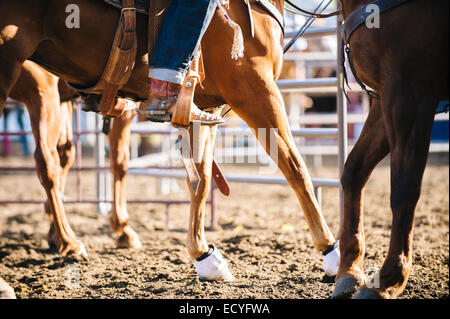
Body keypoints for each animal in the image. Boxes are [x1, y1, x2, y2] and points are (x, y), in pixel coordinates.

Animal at [0, 0, 340, 282]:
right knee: (48, 165)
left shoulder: (205, 109)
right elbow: (295, 167)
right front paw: (331, 251)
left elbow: (200, 180)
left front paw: (203, 255)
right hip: (34, 85)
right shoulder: (255, 89)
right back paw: (67, 242)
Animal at [332, 0, 448, 300]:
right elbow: (354, 171)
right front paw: (349, 270)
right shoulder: (384, 97)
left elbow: (404, 190)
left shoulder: (410, 95)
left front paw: (387, 280)